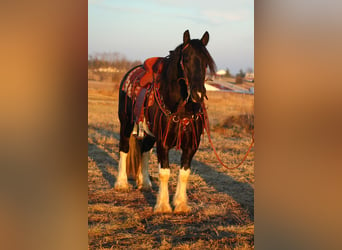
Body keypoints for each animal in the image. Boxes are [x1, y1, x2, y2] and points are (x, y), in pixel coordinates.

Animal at [115, 29, 216, 213]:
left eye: (206, 61)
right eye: (186, 59)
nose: (198, 94)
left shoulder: (191, 145)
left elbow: (184, 174)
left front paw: (181, 204)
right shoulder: (163, 141)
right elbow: (165, 172)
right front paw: (162, 206)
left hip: (149, 133)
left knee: (145, 151)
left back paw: (145, 183)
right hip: (126, 124)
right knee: (124, 149)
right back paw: (121, 183)